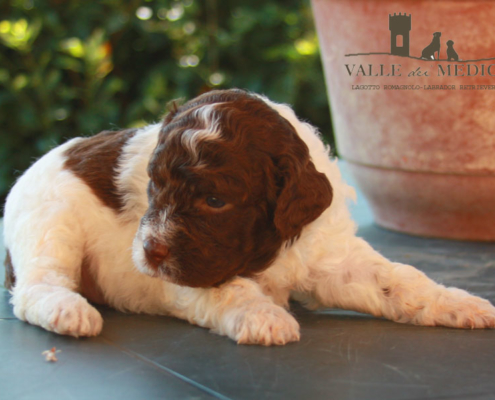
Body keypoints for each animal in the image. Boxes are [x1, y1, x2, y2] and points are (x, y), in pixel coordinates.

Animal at [3, 90, 495, 344]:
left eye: (215, 200)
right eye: (154, 184)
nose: (149, 252)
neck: (269, 251)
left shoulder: (327, 255)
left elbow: (398, 280)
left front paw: (460, 303)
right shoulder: (192, 271)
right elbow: (231, 290)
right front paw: (265, 317)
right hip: (48, 223)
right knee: (35, 286)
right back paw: (68, 310)